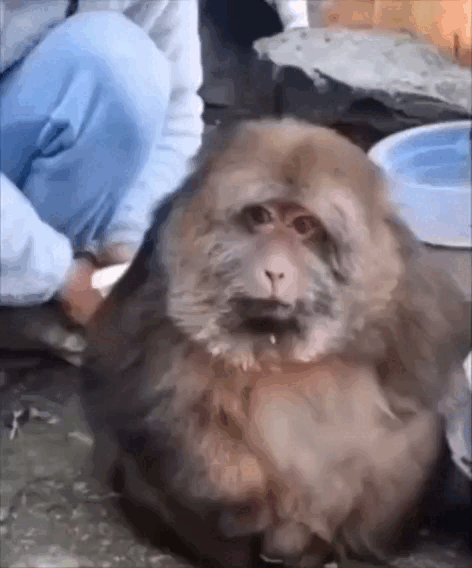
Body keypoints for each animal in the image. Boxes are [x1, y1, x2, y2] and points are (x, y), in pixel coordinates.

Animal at [80, 117, 471, 567]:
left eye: (304, 226)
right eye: (261, 217)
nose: (274, 271)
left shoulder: (397, 277)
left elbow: (425, 385)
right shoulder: (165, 267)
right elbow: (137, 394)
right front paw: (244, 502)